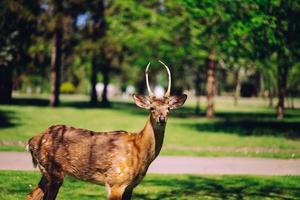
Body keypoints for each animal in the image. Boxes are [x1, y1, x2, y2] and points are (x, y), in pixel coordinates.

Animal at [27, 60, 188, 199]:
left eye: (168, 109)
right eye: (152, 108)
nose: (161, 119)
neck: (139, 151)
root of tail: (30, 142)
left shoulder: (131, 186)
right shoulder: (116, 181)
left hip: (47, 172)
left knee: (31, 195)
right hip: (54, 171)